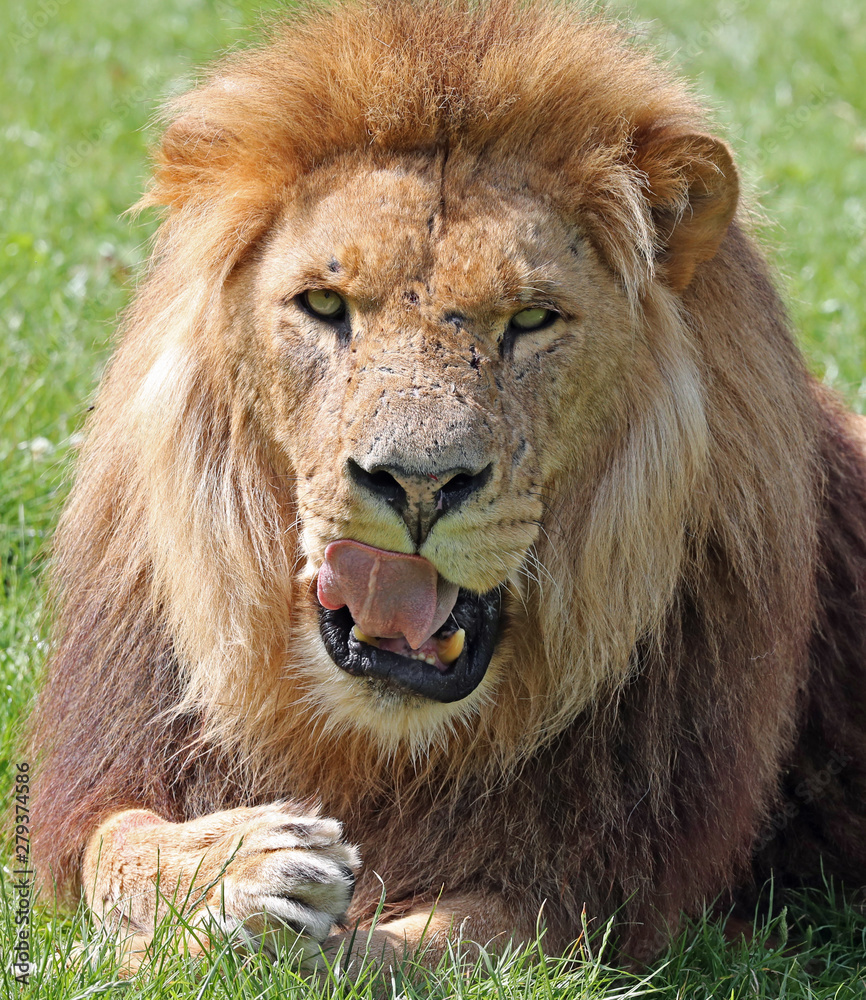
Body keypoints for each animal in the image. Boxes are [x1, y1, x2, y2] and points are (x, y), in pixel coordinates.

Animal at [25, 0, 864, 972]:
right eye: (324, 305)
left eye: (531, 319)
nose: (417, 483)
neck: (384, 742)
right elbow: (111, 845)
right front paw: (237, 870)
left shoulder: (588, 899)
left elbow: (404, 953)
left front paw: (263, 924)